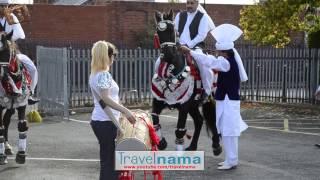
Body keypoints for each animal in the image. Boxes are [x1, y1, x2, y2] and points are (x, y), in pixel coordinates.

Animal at [151, 9, 221, 154]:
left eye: (173, 31)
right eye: (158, 32)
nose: (168, 54)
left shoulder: (184, 105)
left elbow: (179, 131)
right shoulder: (158, 101)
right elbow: (155, 120)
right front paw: (162, 142)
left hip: (209, 99)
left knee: (212, 119)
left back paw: (216, 146)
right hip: (193, 105)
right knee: (199, 120)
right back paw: (193, 146)